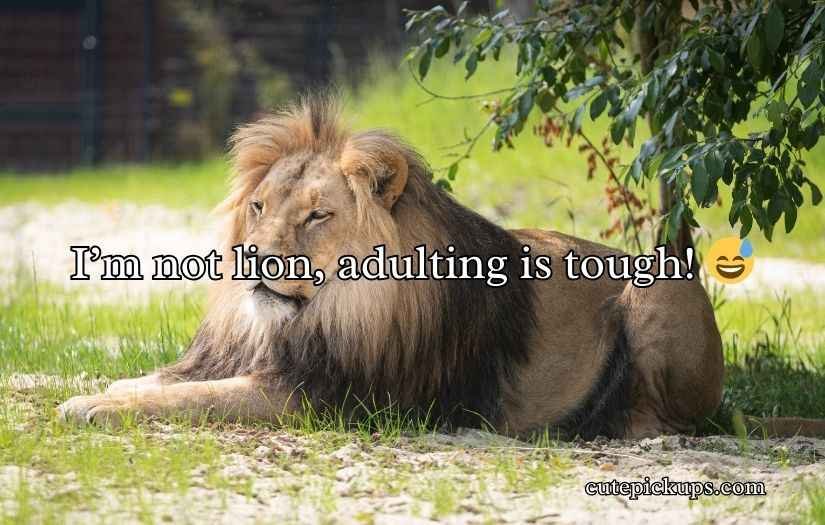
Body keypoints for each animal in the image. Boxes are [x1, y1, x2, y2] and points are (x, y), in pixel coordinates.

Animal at [57, 95, 825, 439]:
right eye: (258, 206)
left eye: (316, 215)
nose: (252, 257)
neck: (322, 313)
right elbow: (160, 379)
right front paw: (100, 390)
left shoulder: (328, 398)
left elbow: (194, 399)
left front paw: (94, 406)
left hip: (658, 295)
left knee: (668, 421)